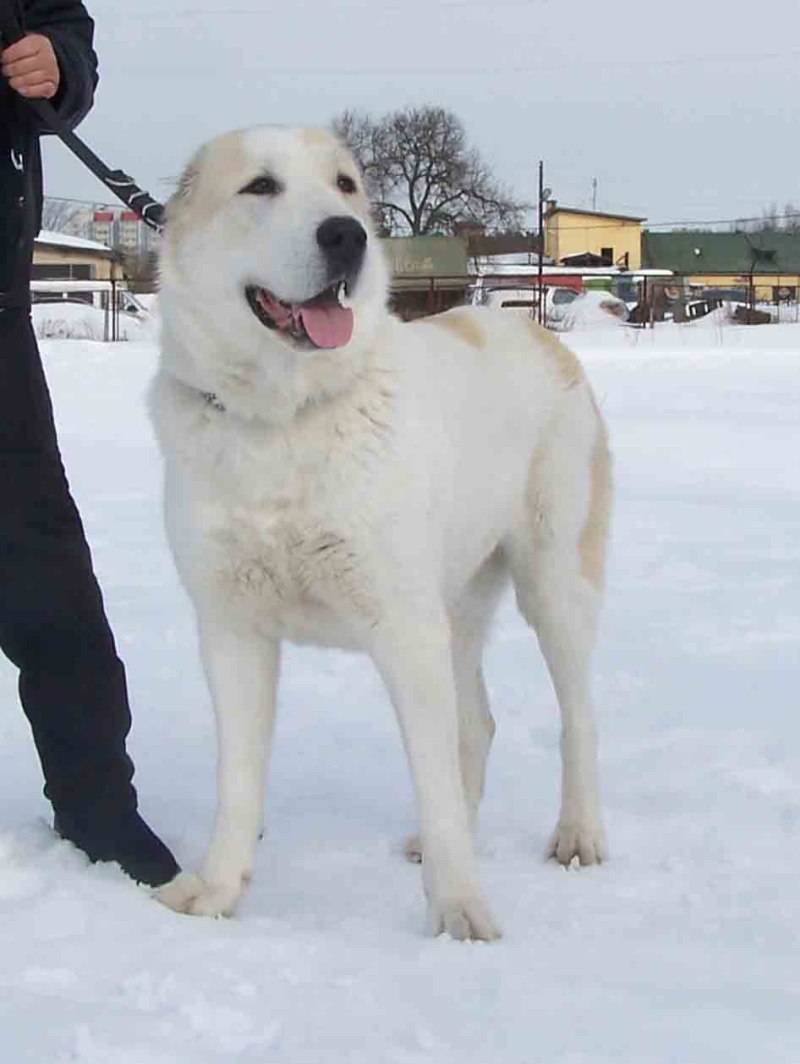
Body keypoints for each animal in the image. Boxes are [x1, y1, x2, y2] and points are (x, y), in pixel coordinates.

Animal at [151, 126, 612, 940]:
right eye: (260, 186)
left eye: (344, 185)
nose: (347, 235)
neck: (285, 420)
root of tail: (534, 331)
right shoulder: (232, 631)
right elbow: (237, 784)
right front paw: (217, 892)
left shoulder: (402, 628)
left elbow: (433, 778)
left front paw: (459, 911)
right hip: (453, 607)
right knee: (478, 723)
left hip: (552, 585)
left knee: (576, 719)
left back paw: (578, 834)